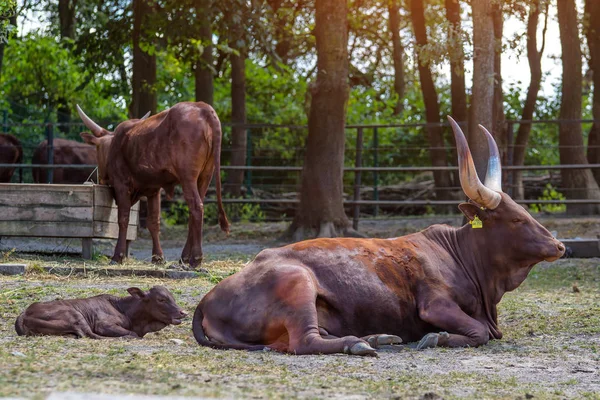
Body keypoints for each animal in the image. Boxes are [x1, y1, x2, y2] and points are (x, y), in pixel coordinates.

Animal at [15, 284, 188, 338]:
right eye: (161, 299)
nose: (183, 312)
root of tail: (24, 313)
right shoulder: (103, 324)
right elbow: (131, 334)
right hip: (75, 315)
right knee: (88, 334)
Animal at [77, 101, 230, 268]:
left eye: (97, 150)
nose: (100, 178)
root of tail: (203, 108)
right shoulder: (154, 190)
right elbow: (153, 222)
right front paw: (158, 257)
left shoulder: (121, 184)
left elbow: (123, 218)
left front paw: (118, 256)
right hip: (205, 176)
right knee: (194, 211)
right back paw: (184, 258)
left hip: (187, 177)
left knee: (196, 207)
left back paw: (195, 258)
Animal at [193, 116, 568, 356]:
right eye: (516, 219)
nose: (560, 245)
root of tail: (208, 297)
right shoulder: (435, 304)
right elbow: (479, 332)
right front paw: (434, 338)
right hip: (297, 282)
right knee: (303, 342)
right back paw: (360, 343)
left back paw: (378, 337)